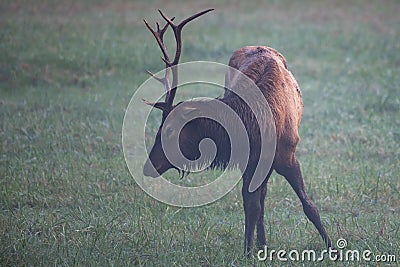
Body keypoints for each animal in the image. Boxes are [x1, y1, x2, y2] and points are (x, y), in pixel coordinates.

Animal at [141, 8, 332, 255]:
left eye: (170, 129)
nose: (148, 166)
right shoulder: (248, 161)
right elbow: (251, 205)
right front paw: (248, 251)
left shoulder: (287, 155)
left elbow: (309, 205)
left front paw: (333, 248)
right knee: (261, 198)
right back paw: (261, 242)